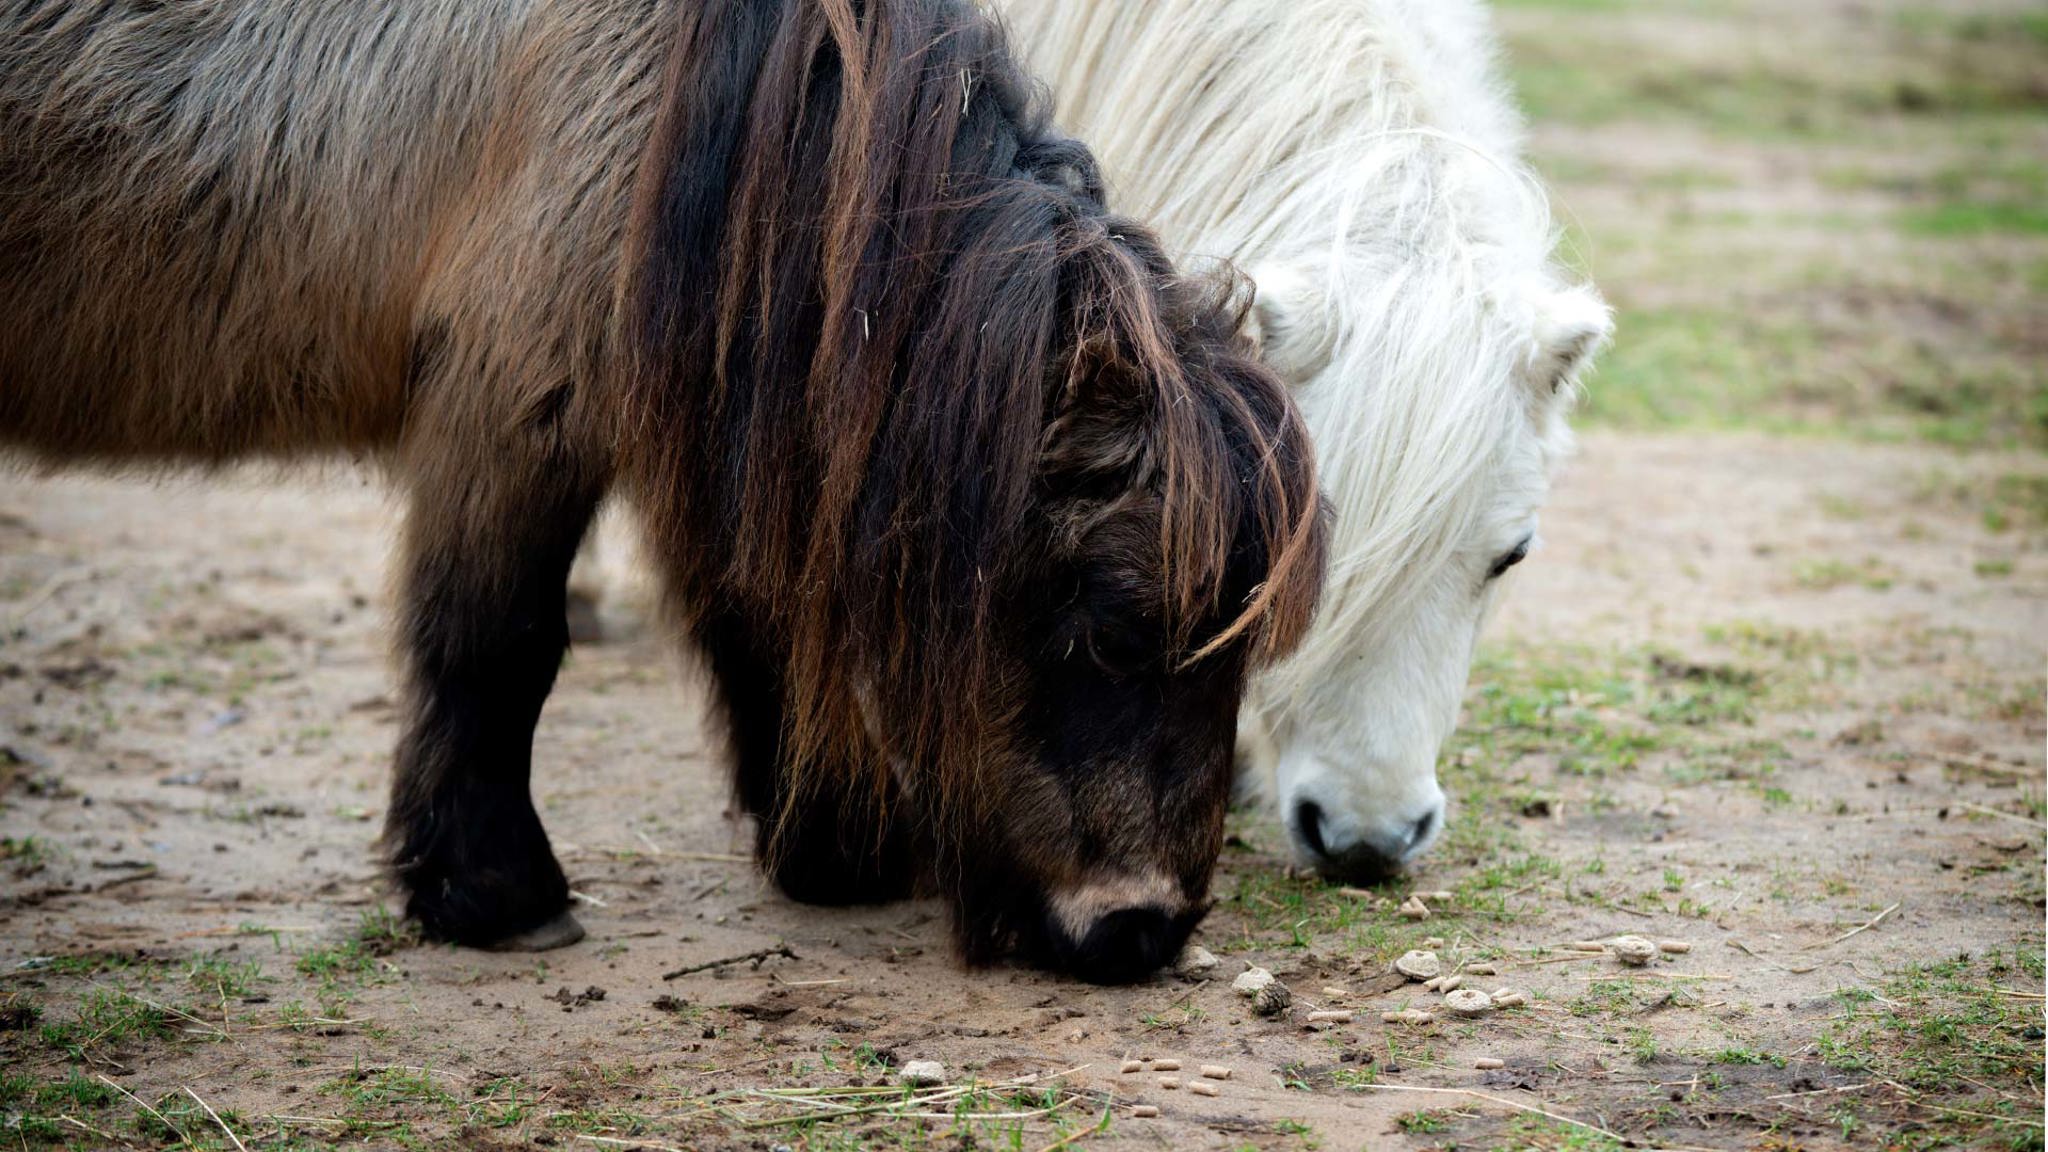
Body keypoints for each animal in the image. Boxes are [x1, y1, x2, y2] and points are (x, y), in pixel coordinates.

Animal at [0, 0, 1326, 983]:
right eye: (1104, 629)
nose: (1140, 929)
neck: (715, 101)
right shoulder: (516, 397)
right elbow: (495, 643)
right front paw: (492, 891)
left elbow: (759, 612)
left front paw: (830, 846)